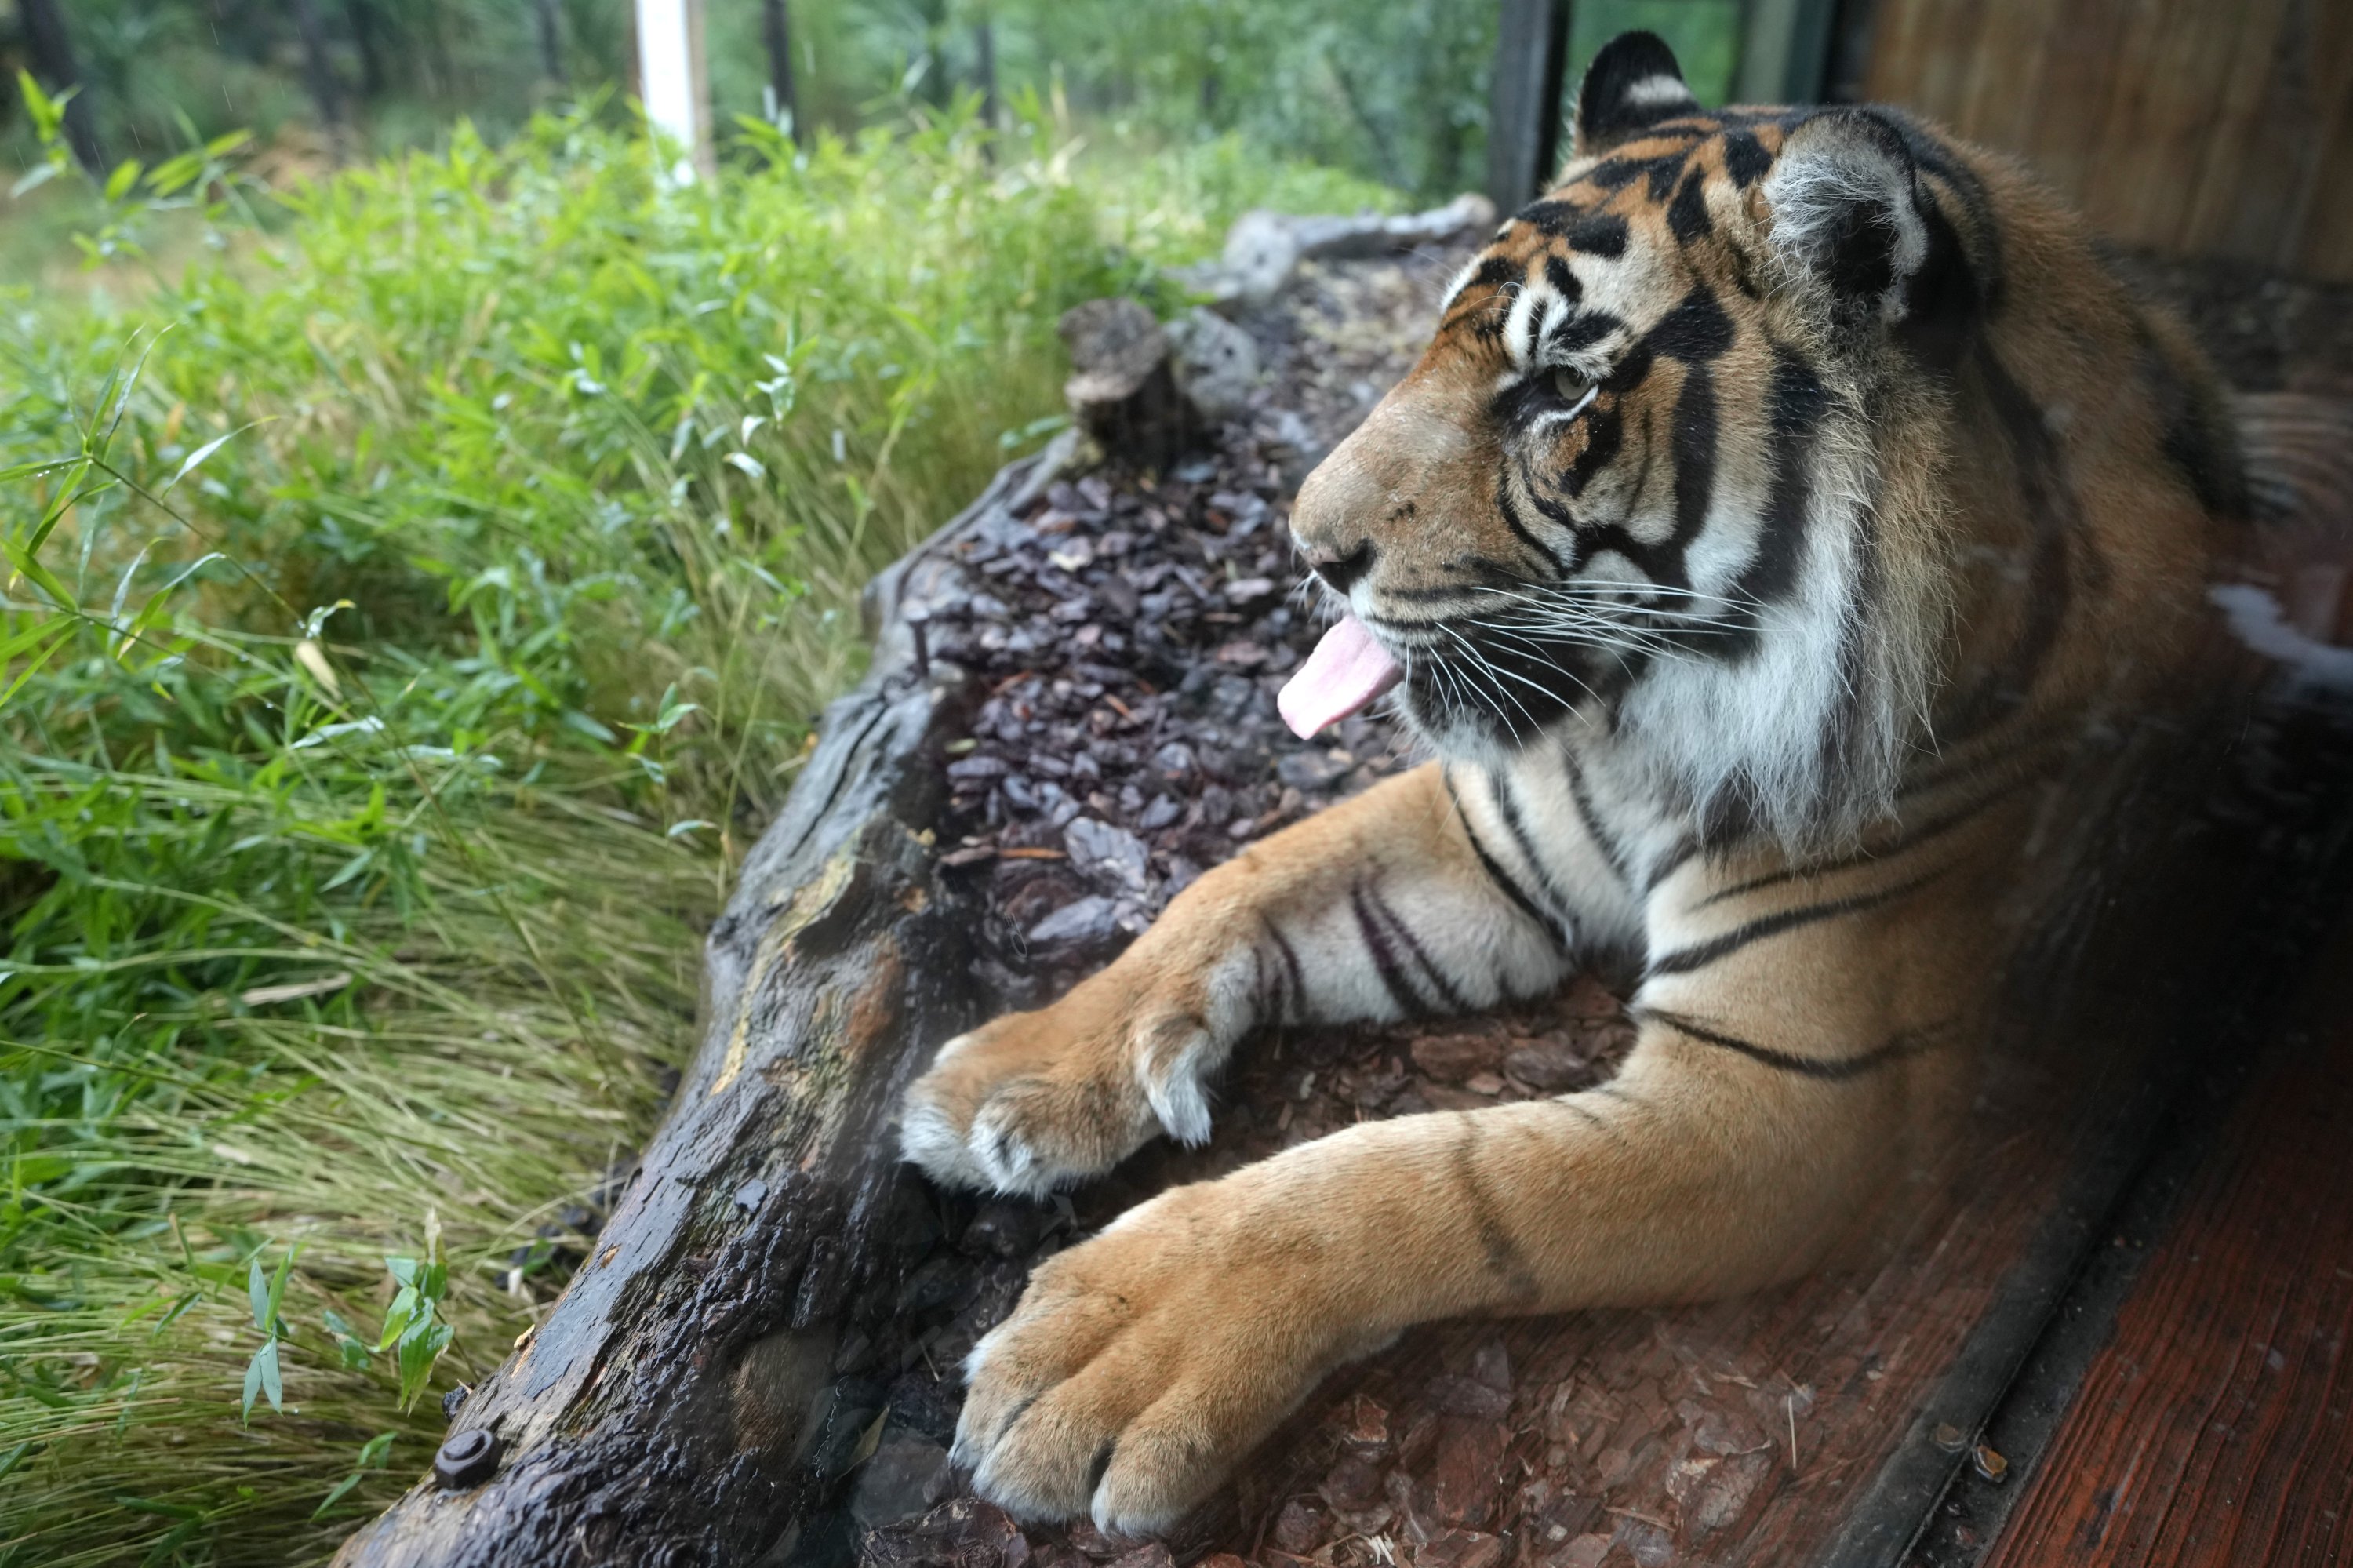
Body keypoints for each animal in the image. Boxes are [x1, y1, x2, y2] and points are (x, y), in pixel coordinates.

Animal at [898, 29, 2249, 1535]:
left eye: (1559, 390)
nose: (1305, 545)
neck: (1657, 721)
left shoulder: (1787, 1093)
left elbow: (1434, 1175)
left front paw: (1117, 1337)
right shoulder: (1500, 832)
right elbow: (1236, 875)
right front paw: (1016, 1069)